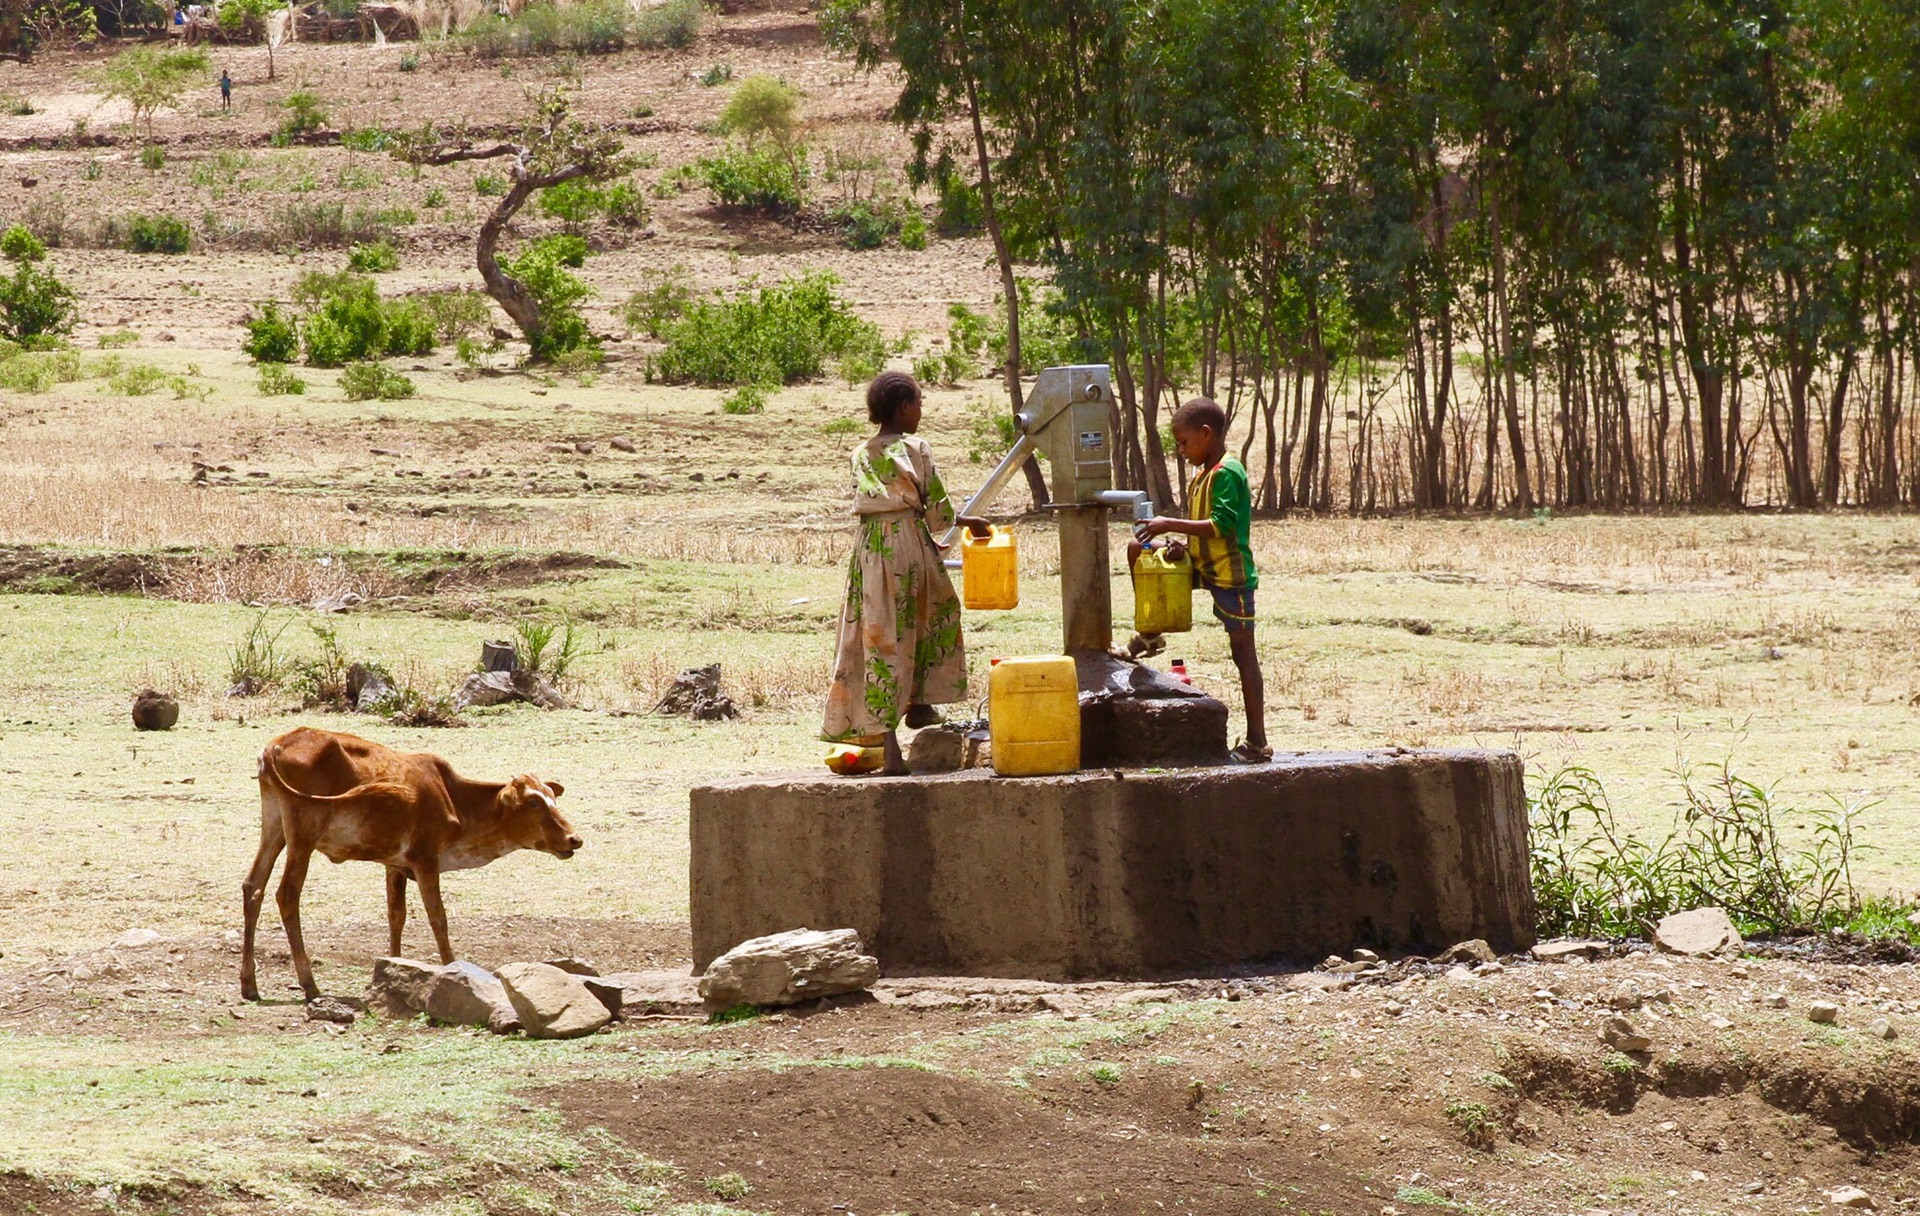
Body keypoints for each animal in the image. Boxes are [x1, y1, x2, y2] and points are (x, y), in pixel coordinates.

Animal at [238, 726, 576, 998]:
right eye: (533, 802)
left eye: (552, 797)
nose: (574, 839)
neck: (453, 798)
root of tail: (276, 745)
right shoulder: (425, 860)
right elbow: (438, 917)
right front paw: (453, 968)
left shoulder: (395, 865)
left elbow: (396, 916)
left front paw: (393, 969)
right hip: (302, 838)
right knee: (287, 895)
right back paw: (309, 985)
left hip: (275, 828)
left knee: (253, 887)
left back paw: (249, 984)